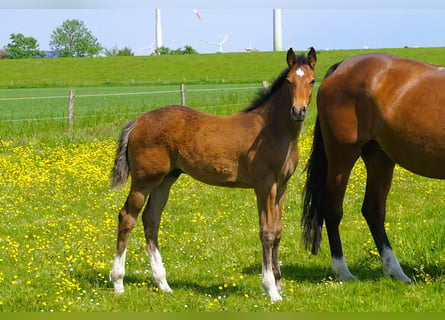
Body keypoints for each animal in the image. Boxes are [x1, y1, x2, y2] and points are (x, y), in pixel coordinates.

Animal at [110, 47, 316, 300]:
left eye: (312, 80)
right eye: (288, 81)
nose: (298, 111)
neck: (272, 131)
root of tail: (139, 120)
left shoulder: (282, 185)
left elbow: (277, 231)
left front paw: (279, 285)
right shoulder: (265, 184)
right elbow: (266, 232)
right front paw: (270, 289)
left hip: (165, 179)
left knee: (151, 219)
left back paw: (163, 283)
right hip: (143, 180)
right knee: (127, 217)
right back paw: (118, 282)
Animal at [300, 52, 444, 282]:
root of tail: (342, 66)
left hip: (379, 158)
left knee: (373, 210)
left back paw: (395, 271)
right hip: (342, 157)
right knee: (332, 209)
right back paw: (343, 271)